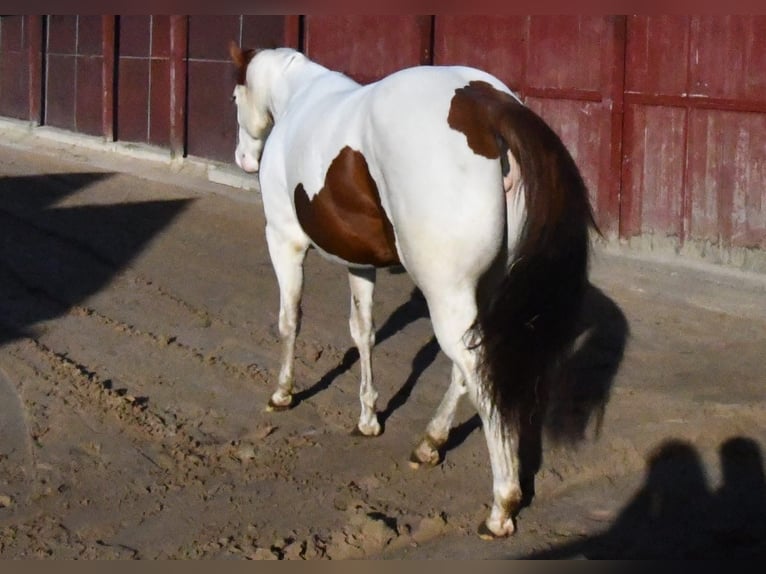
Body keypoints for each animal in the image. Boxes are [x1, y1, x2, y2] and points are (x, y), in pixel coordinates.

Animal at [229, 43, 597, 539]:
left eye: (235, 95)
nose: (244, 159)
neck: (298, 97)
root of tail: (483, 103)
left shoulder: (284, 241)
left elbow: (290, 320)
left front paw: (282, 394)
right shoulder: (360, 264)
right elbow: (363, 333)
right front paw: (368, 418)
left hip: (446, 293)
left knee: (477, 369)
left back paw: (501, 505)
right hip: (480, 293)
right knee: (472, 365)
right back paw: (430, 443)